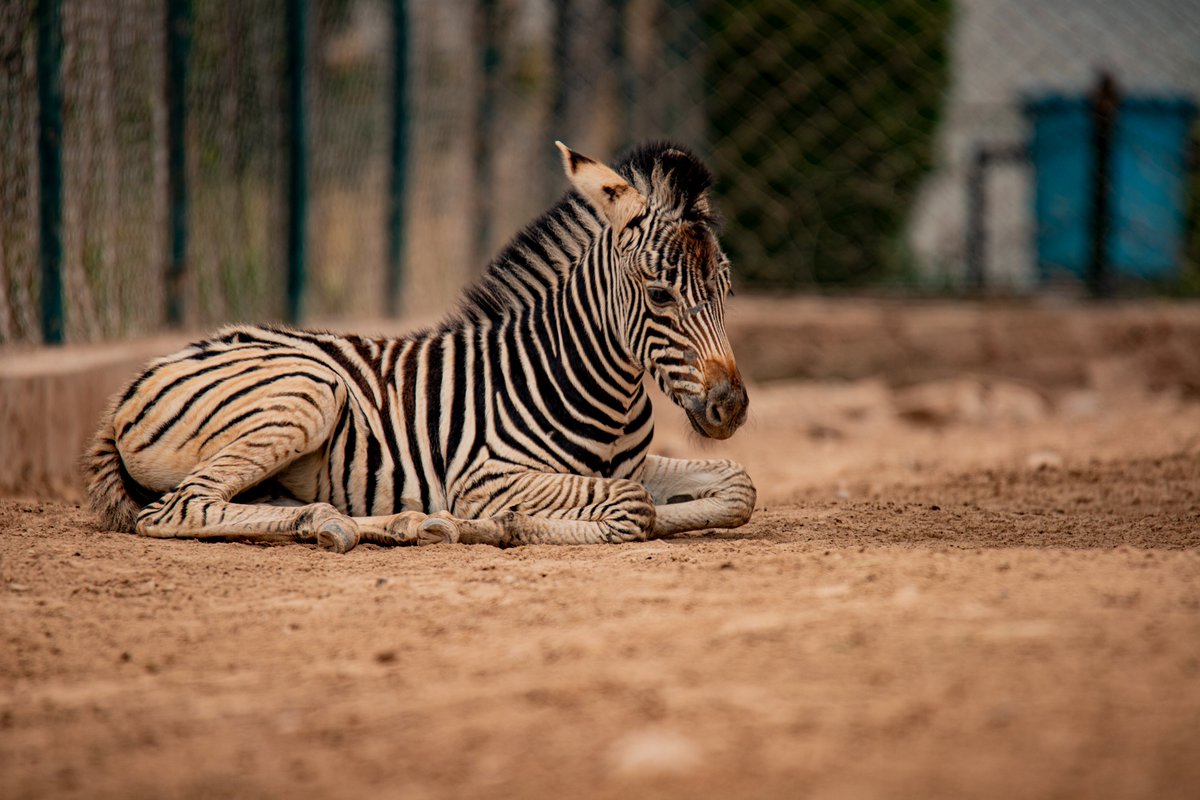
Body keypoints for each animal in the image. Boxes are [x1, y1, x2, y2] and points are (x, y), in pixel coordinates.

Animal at [83, 141, 755, 553]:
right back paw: (349, 523)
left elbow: (736, 487)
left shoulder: (632, 465)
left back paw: (388, 522)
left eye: (725, 288)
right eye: (661, 296)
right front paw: (500, 526)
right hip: (306, 389)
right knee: (181, 508)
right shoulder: (486, 476)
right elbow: (632, 509)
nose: (730, 406)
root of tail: (134, 385)